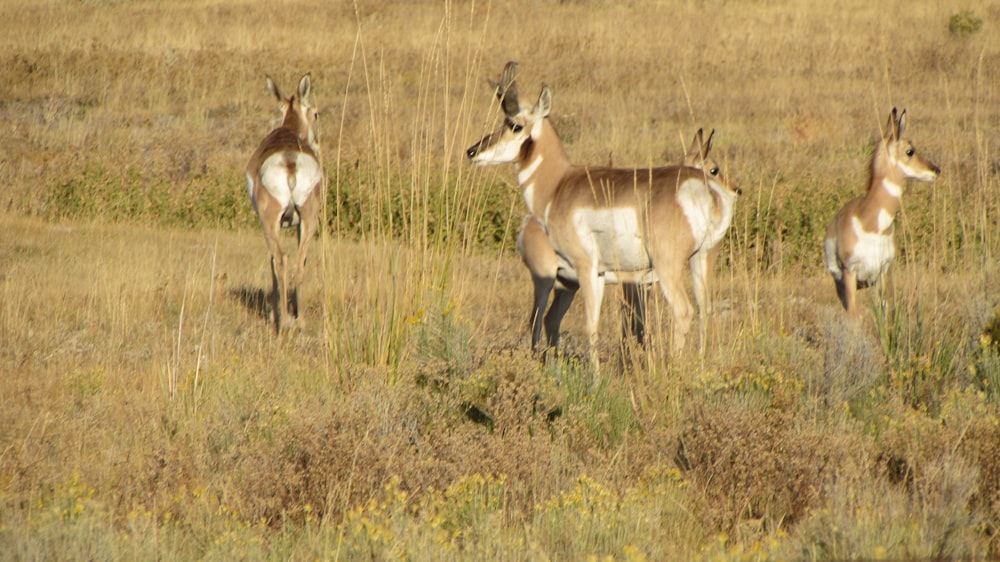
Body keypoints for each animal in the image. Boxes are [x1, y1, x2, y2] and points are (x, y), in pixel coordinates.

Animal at [244, 72, 322, 330]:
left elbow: (271, 260)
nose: (316, 144)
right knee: (299, 261)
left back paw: (284, 322)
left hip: (270, 222)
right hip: (309, 218)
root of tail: (289, 160)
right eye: (315, 113)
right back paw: (301, 321)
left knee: (281, 259)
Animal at [516, 129, 728, 352]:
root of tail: (529, 222)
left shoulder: (645, 286)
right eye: (714, 169)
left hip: (568, 286)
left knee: (550, 320)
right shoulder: (633, 287)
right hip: (544, 281)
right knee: (535, 320)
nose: (736, 190)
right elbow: (635, 327)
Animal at [820, 106, 936, 316]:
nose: (936, 169)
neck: (871, 224)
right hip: (842, 282)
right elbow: (853, 313)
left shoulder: (881, 272)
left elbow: (884, 311)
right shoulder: (850, 272)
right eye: (910, 151)